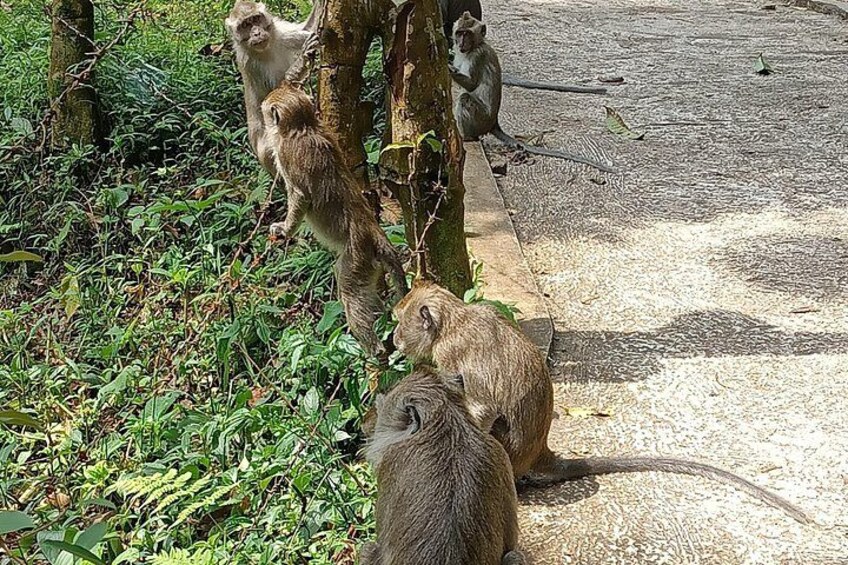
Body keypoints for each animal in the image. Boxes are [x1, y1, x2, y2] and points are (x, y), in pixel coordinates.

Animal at [226, 0, 324, 173]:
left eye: (256, 19)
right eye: (245, 25)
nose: (256, 33)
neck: (266, 50)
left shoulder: (280, 32)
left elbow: (307, 30)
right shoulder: (250, 64)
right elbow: (275, 95)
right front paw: (301, 59)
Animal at [261, 82, 408, 359]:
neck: (304, 126)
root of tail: (375, 234)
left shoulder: (286, 153)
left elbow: (300, 196)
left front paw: (285, 230)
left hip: (357, 258)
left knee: (349, 287)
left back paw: (374, 350)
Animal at [391, 279, 811, 525]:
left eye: (399, 321)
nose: (393, 338)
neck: (454, 320)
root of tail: (539, 452)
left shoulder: (452, 353)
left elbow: (484, 407)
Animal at [449, 12, 617, 174]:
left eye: (467, 34)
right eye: (459, 33)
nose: (461, 43)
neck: (474, 47)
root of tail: (493, 123)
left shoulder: (477, 56)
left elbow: (471, 85)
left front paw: (449, 68)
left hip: (481, 119)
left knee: (464, 98)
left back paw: (467, 137)